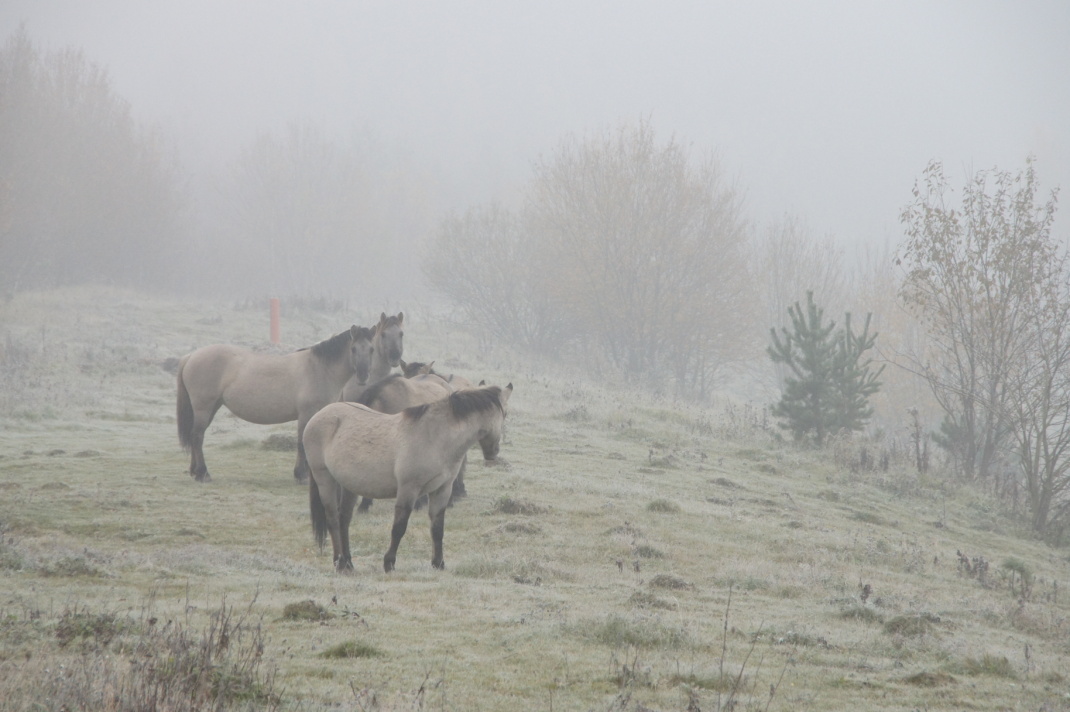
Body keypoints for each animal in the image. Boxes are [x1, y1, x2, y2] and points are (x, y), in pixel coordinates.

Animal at [176, 326, 376, 483]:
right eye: (353, 349)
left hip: (211, 407)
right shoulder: (306, 413)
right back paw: (202, 474)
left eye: (372, 349)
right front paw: (301, 475)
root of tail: (191, 356)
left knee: (195, 436)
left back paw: (194, 471)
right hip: (204, 407)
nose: (363, 377)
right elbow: (301, 443)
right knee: (197, 436)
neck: (319, 368)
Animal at [305, 383, 512, 573]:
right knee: (332, 519)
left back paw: (348, 562)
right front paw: (389, 563)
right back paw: (339, 562)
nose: (493, 453)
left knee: (344, 519)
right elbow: (399, 527)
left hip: (350, 485)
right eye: (504, 415)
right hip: (324, 479)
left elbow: (437, 529)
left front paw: (438, 563)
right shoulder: (408, 489)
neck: (436, 437)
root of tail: (319, 416)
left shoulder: (442, 490)